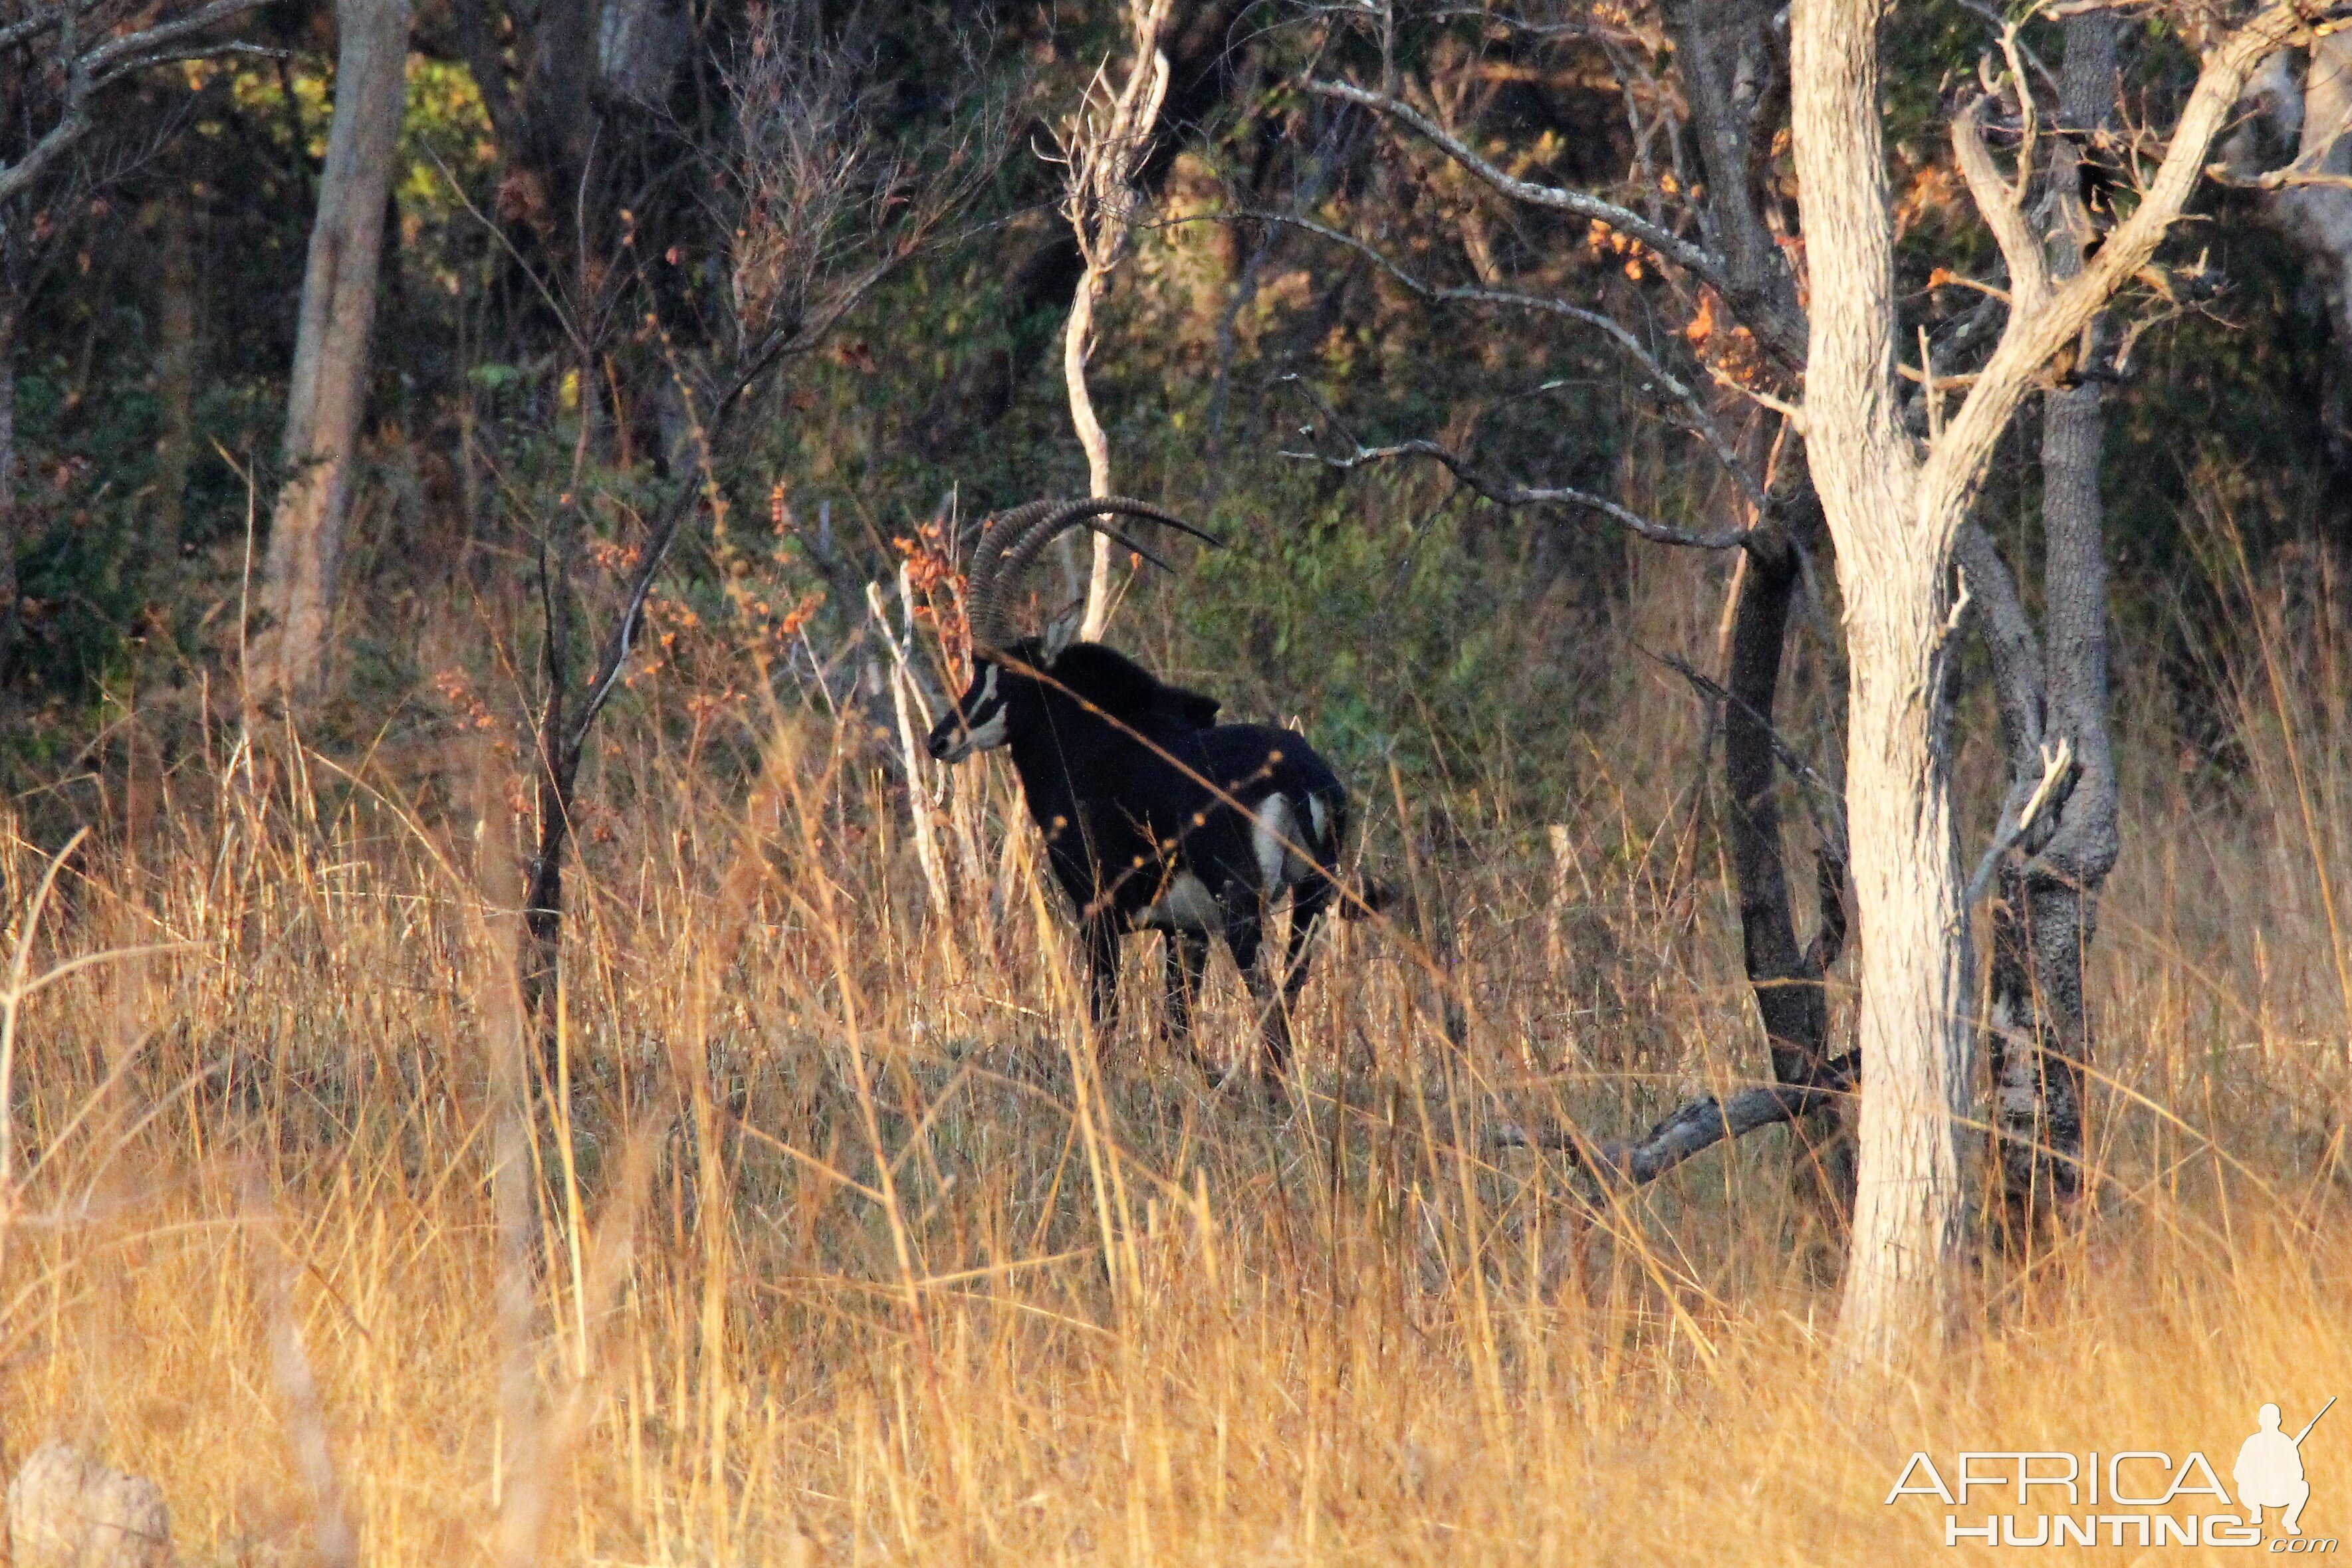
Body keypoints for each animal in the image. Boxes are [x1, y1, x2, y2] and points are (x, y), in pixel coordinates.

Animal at [917, 501, 1373, 1081]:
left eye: (1013, 675)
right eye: (978, 667)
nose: (940, 739)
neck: (1096, 739)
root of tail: (1297, 773)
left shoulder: (1097, 913)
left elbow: (1104, 1019)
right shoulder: (1185, 930)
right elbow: (1174, 1028)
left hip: (1242, 911)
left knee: (1270, 1010)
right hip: (1311, 898)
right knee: (1285, 1003)